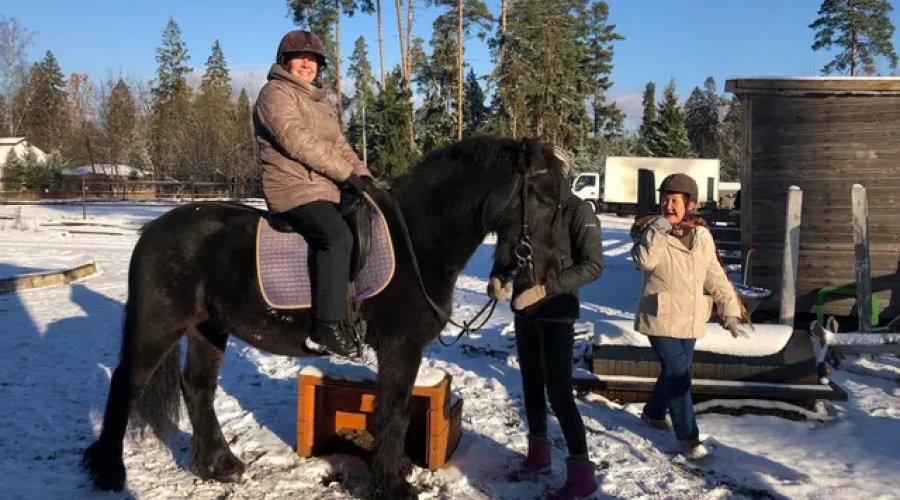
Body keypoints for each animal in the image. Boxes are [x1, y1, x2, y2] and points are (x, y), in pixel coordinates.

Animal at [81, 135, 568, 498]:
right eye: (544, 196)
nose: (547, 274)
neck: (419, 239)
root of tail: (153, 230)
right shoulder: (400, 346)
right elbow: (393, 411)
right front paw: (392, 485)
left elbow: (392, 408)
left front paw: (396, 473)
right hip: (159, 326)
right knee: (127, 383)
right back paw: (109, 472)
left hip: (208, 329)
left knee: (197, 388)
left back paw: (218, 465)